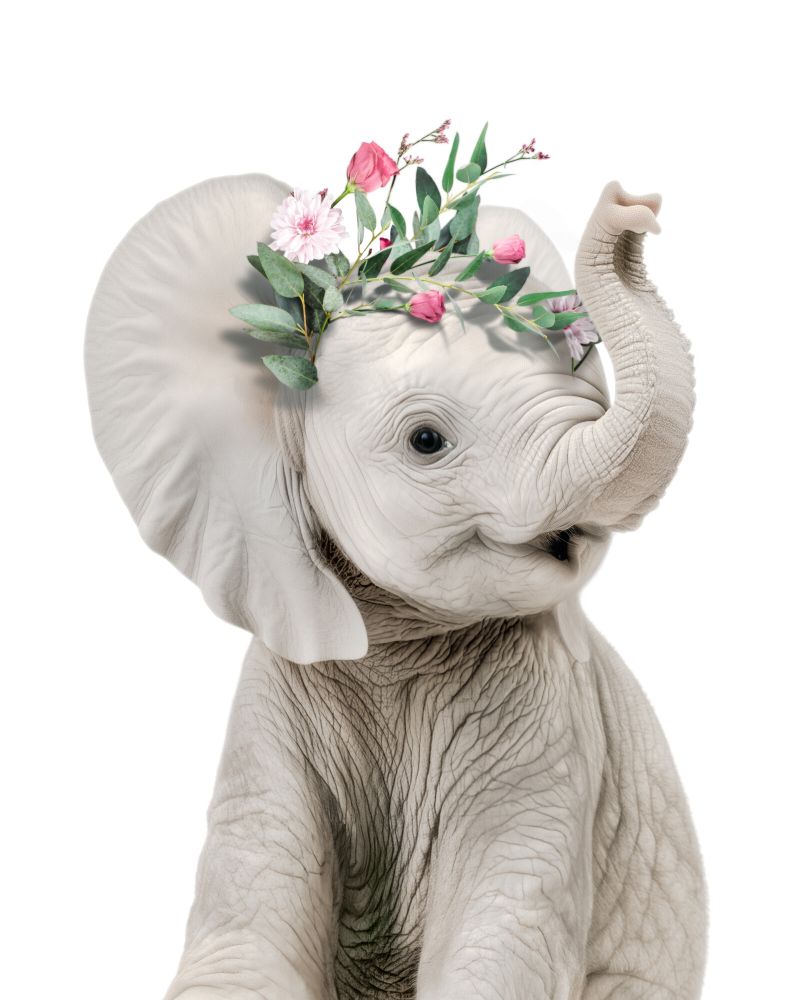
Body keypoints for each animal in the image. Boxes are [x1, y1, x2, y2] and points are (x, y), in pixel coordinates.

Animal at [85, 173, 707, 1000]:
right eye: (426, 441)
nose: (632, 203)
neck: (401, 638)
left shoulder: (551, 718)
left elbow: (499, 939)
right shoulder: (269, 713)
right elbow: (246, 946)